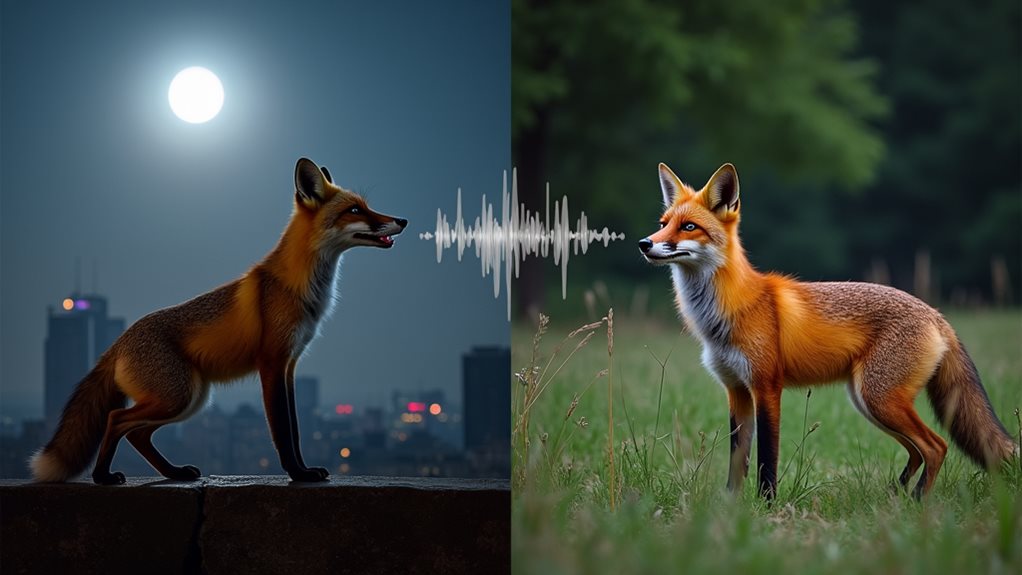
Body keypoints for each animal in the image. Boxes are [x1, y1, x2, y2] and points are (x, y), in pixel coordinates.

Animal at [31, 157, 407, 484]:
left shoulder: (289, 365)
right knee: (115, 419)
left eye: (366, 205)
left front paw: (303, 470)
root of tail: (117, 343)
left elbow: (297, 430)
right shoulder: (271, 362)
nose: (402, 220)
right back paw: (102, 477)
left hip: (189, 399)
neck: (299, 287)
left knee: (137, 434)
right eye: (354, 210)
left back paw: (173, 473)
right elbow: (283, 432)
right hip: (178, 397)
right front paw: (298, 474)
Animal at [639, 162, 1019, 499]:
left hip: (879, 399)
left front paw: (767, 507)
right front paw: (730, 509)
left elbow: (766, 460)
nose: (644, 243)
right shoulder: (736, 390)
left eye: (689, 227)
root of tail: (937, 314)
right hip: (870, 403)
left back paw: (917, 503)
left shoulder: (766, 387)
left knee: (936, 446)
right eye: (663, 224)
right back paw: (894, 497)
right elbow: (737, 462)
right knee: (917, 451)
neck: (725, 313)